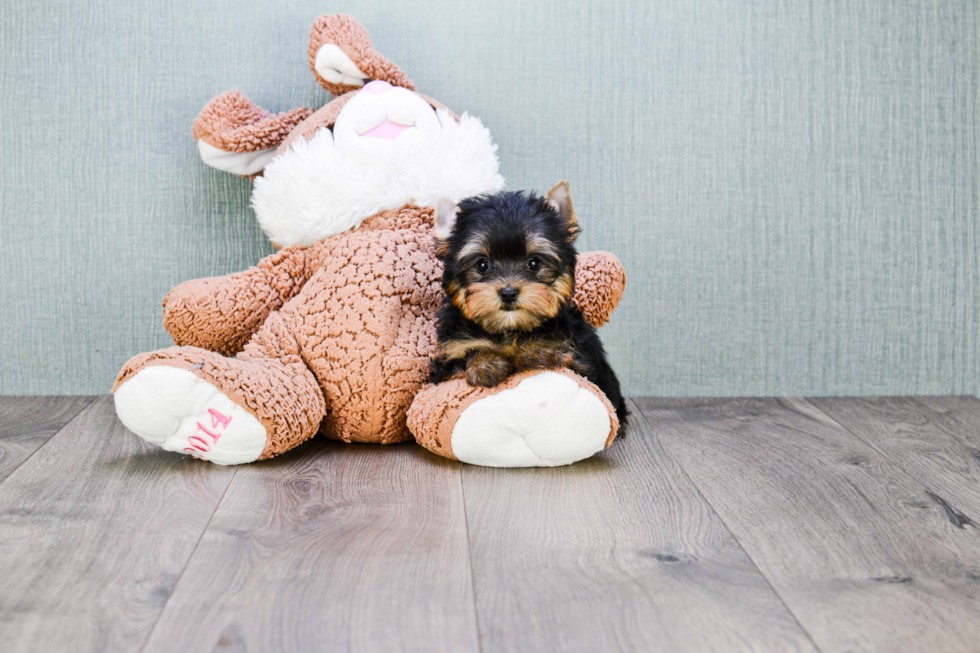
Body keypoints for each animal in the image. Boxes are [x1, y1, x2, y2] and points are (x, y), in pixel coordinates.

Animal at [430, 181, 628, 430]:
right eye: (482, 265)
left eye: (534, 263)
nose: (508, 292)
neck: (509, 329)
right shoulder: (449, 357)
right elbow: (466, 358)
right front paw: (485, 363)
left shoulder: (580, 359)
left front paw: (537, 351)